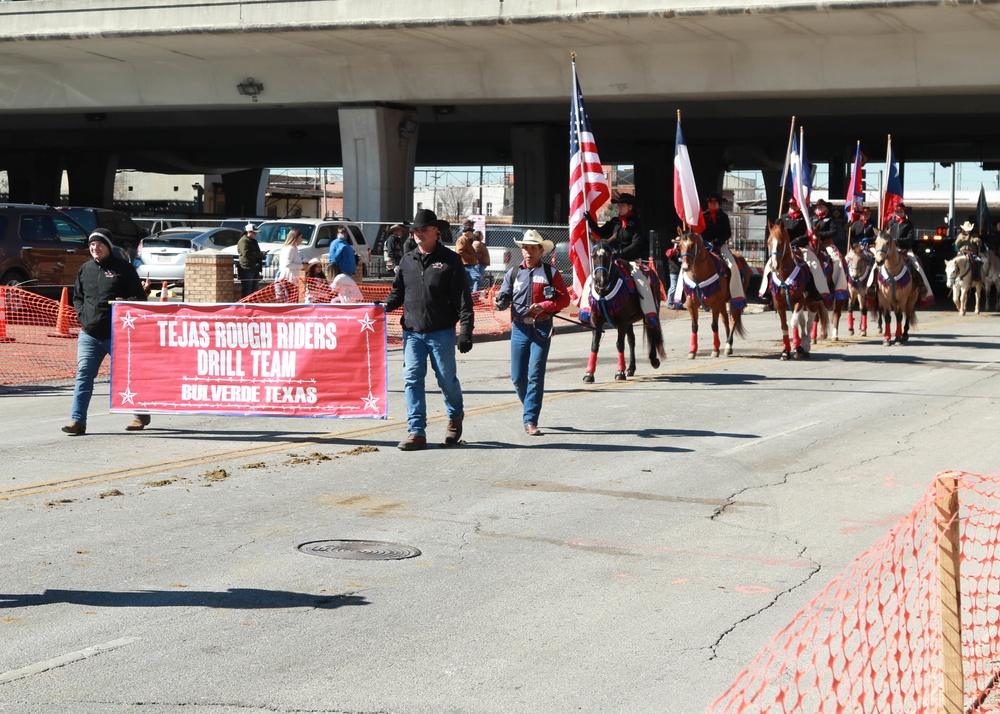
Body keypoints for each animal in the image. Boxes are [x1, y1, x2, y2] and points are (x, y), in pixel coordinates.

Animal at [584, 241, 664, 384]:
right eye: (593, 255)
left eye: (610, 256)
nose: (601, 280)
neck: (605, 293)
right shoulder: (596, 319)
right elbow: (594, 345)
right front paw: (589, 374)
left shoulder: (621, 321)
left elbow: (619, 344)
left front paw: (619, 372)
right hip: (629, 322)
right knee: (632, 340)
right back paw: (631, 368)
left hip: (650, 311)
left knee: (652, 330)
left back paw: (654, 360)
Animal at [764, 220, 828, 358]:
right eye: (768, 242)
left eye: (781, 242)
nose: (774, 265)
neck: (784, 275)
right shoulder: (779, 304)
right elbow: (784, 325)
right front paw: (786, 351)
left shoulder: (799, 301)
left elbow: (794, 322)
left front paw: (798, 348)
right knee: (803, 322)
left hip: (811, 303)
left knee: (809, 323)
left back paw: (806, 345)